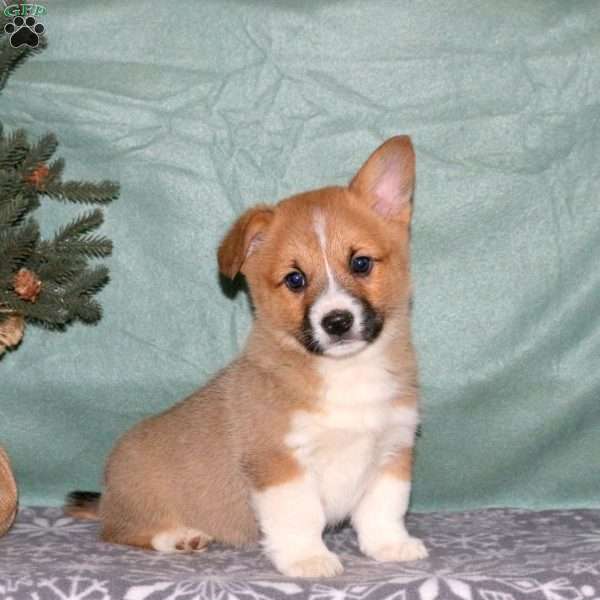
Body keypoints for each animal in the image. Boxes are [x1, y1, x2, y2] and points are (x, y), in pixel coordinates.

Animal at [68, 136, 428, 576]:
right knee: (120, 531)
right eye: (295, 279)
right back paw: (179, 536)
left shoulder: (391, 454)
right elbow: (300, 517)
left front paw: (390, 546)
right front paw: (309, 559)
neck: (346, 372)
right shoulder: (280, 462)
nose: (337, 321)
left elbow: (383, 512)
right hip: (137, 506)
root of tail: (108, 493)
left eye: (360, 263)